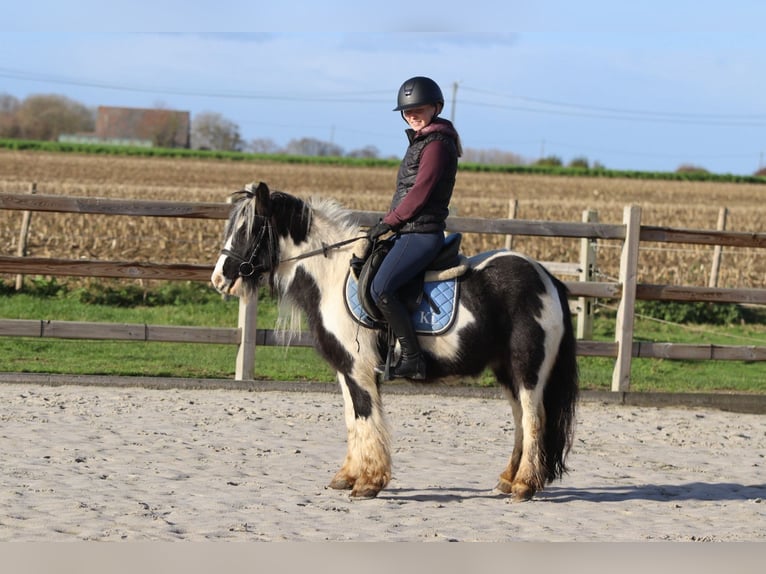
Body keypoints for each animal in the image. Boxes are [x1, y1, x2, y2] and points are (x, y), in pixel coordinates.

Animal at [211, 181, 578, 501]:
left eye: (247, 230)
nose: (218, 279)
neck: (331, 277)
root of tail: (546, 279)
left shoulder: (359, 369)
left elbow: (366, 416)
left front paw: (368, 482)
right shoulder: (346, 370)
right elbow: (353, 418)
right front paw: (347, 476)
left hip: (528, 369)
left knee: (533, 419)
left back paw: (524, 486)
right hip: (507, 371)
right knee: (519, 421)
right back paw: (507, 479)